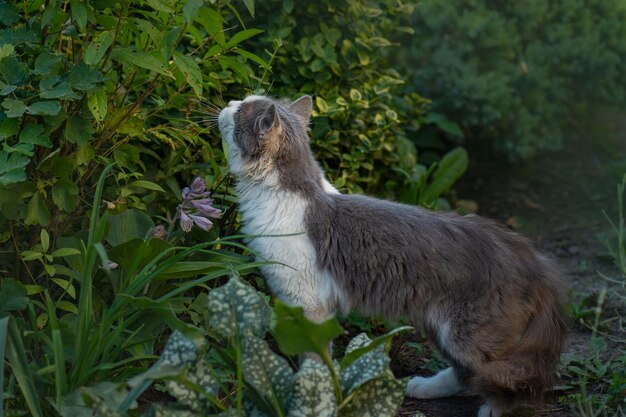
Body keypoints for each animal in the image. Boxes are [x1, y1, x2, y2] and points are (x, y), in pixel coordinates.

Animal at [218, 94, 564, 416]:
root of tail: (533, 258)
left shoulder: (309, 304)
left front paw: (310, 400)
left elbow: (315, 359)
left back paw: (495, 407)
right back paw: (424, 387)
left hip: (469, 334)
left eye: (240, 111)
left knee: (506, 375)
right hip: (439, 325)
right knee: (466, 373)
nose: (229, 102)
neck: (285, 195)